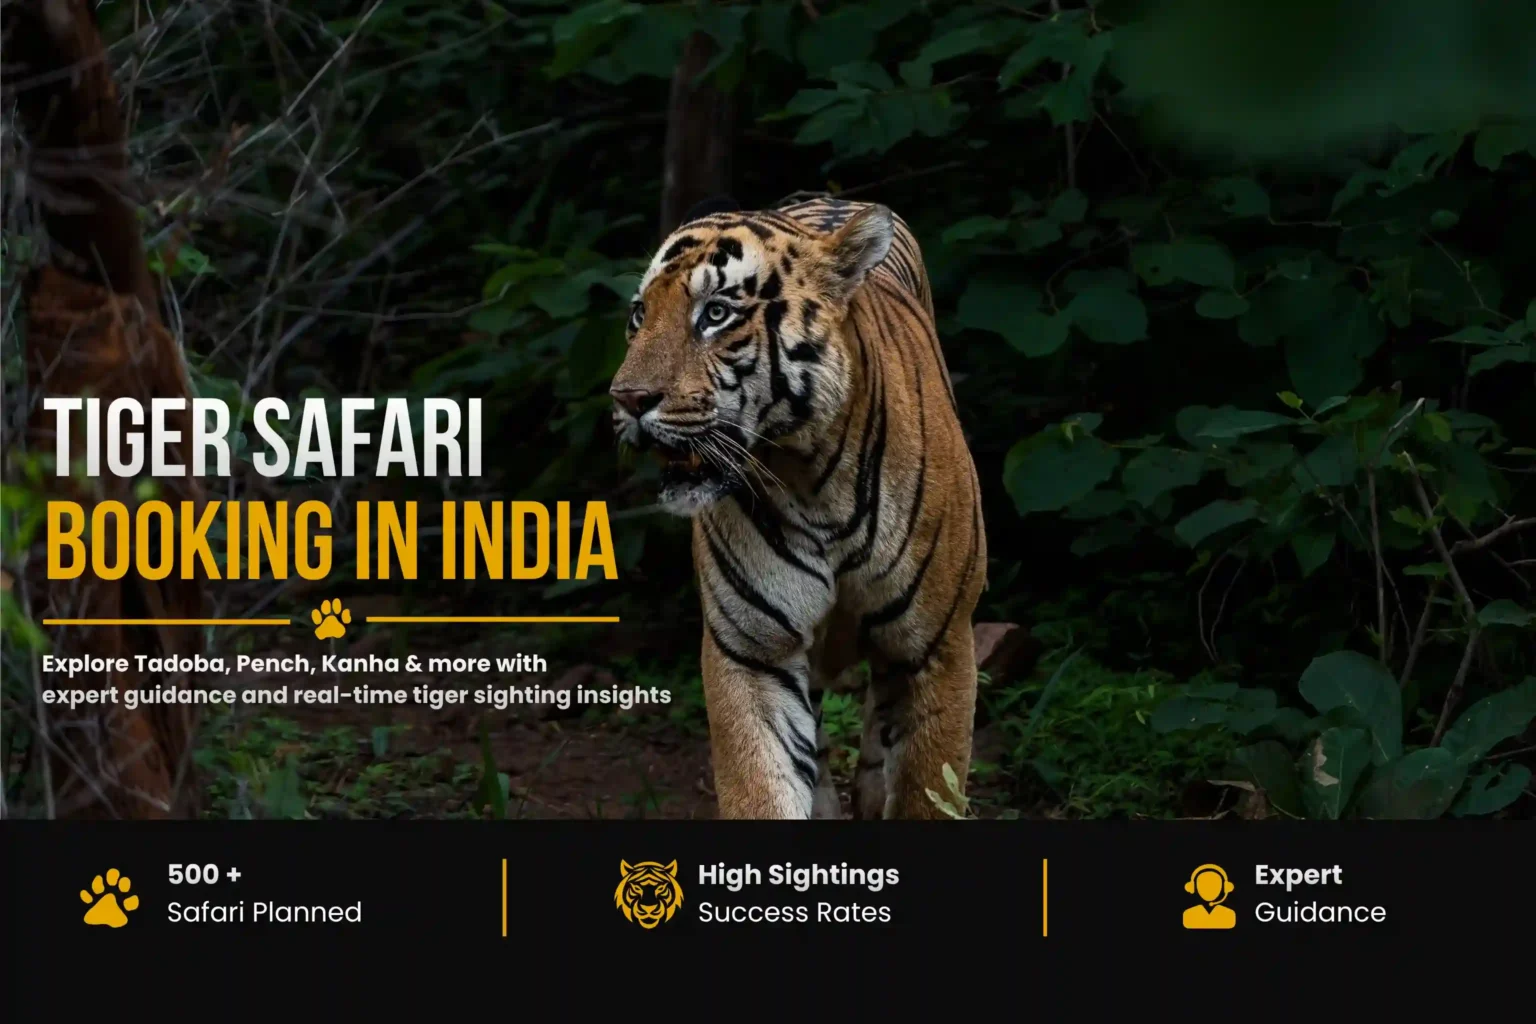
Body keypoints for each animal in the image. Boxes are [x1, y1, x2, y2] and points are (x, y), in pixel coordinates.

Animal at [609, 195, 986, 820]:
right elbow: (763, 785)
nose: (628, 400)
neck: (814, 481)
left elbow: (928, 788)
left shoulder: (937, 648)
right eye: (640, 315)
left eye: (715, 313)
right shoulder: (753, 650)